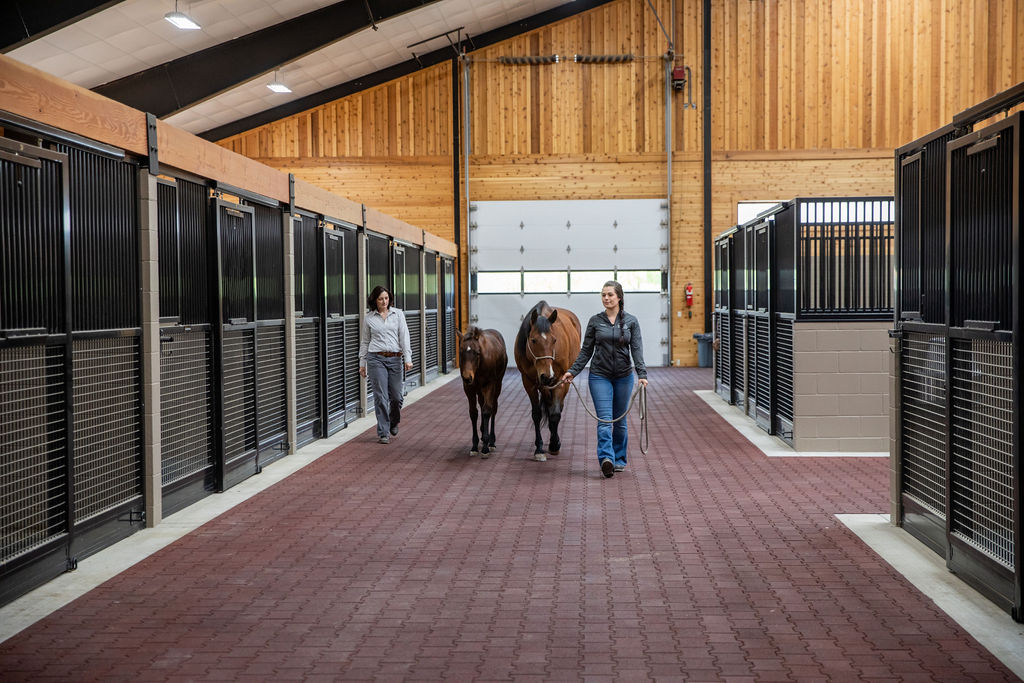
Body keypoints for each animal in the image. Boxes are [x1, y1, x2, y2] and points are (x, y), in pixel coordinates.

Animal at [456, 327, 507, 458]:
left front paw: (485, 447)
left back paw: (491, 441)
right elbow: (473, 413)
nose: (467, 377)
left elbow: (487, 411)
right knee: (482, 403)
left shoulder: (490, 385)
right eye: (461, 352)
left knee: (493, 408)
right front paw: (475, 445)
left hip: (497, 385)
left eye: (477, 353)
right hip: (479, 390)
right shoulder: (469, 388)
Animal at [516, 301, 581, 462]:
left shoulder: (560, 380)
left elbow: (555, 414)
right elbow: (537, 414)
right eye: (533, 340)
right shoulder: (528, 382)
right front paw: (539, 449)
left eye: (554, 340)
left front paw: (554, 444)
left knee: (557, 407)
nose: (547, 375)